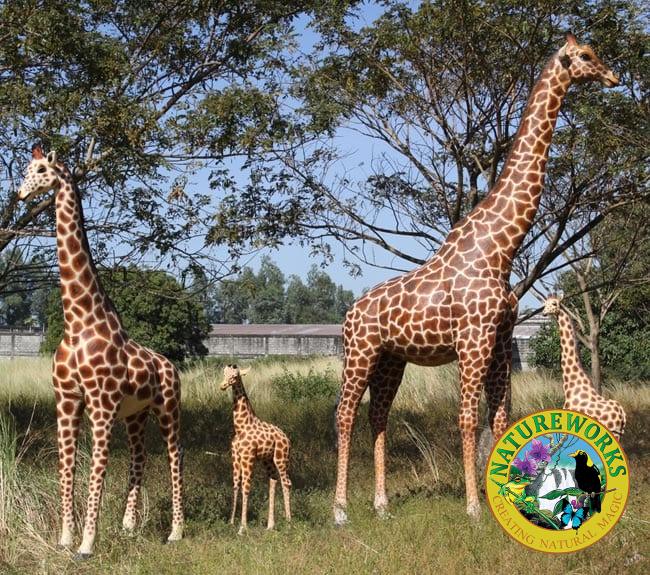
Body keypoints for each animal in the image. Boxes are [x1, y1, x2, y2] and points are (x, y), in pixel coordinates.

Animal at [17, 146, 184, 558]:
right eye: (27, 169)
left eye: (41, 170)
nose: (21, 194)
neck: (78, 321)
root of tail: (171, 366)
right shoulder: (66, 399)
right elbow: (67, 467)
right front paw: (65, 538)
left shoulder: (101, 403)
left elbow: (97, 469)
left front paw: (87, 544)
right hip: (137, 415)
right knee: (140, 457)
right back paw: (129, 527)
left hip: (169, 408)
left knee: (175, 456)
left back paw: (176, 531)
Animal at [221, 365, 291, 534]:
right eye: (224, 373)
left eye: (235, 376)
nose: (223, 385)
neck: (241, 426)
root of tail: (287, 438)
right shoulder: (236, 457)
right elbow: (236, 486)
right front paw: (231, 522)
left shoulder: (248, 457)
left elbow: (246, 487)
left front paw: (242, 527)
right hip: (268, 461)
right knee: (273, 480)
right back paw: (270, 525)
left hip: (281, 458)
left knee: (287, 482)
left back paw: (288, 522)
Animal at [543, 296, 626, 438]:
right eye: (544, 304)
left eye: (554, 303)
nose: (543, 313)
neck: (571, 387)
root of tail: (621, 413)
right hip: (618, 433)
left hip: (612, 432)